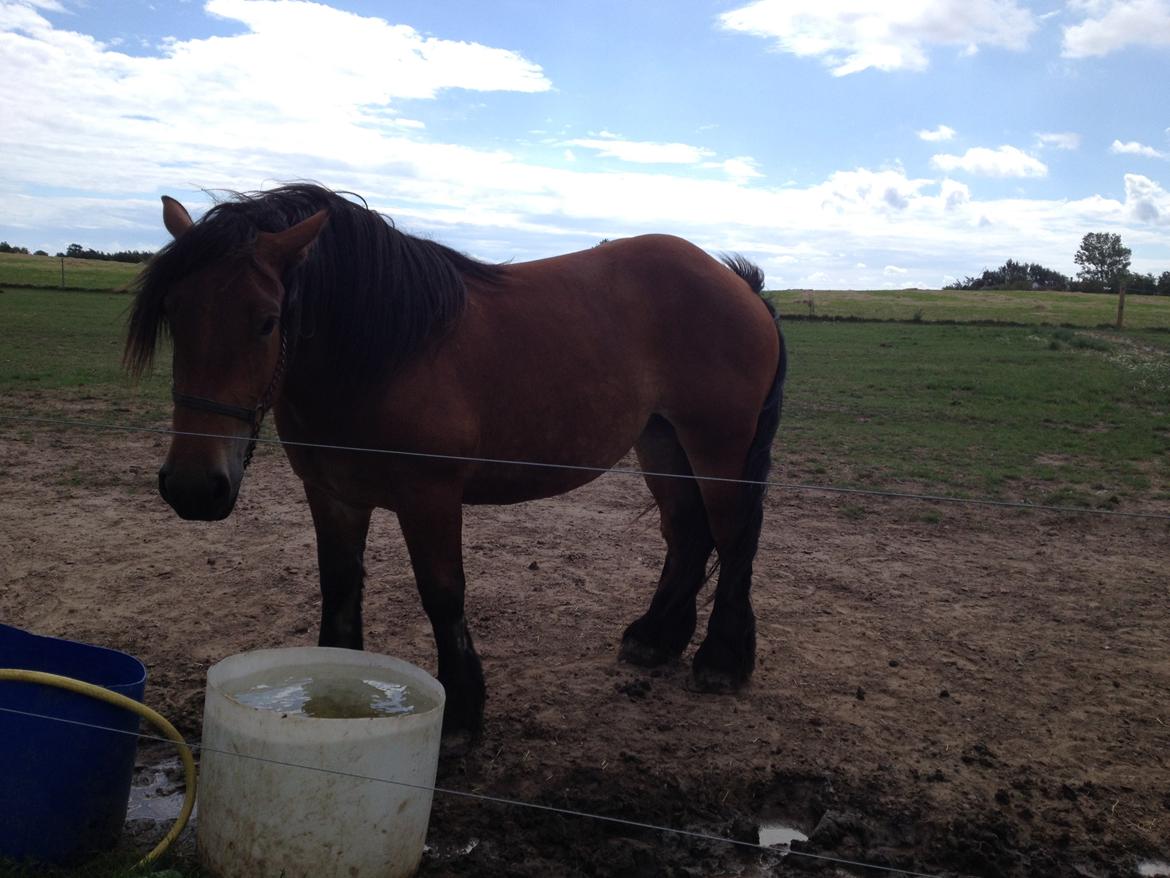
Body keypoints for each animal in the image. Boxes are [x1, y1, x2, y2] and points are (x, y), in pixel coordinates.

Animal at [123, 183, 786, 744]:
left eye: (267, 321)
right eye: (174, 313)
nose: (193, 487)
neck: (381, 353)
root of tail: (738, 285)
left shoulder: (430, 496)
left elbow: (442, 594)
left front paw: (463, 710)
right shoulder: (333, 494)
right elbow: (339, 586)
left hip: (717, 446)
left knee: (732, 536)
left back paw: (722, 661)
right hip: (662, 441)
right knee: (688, 533)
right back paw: (655, 639)